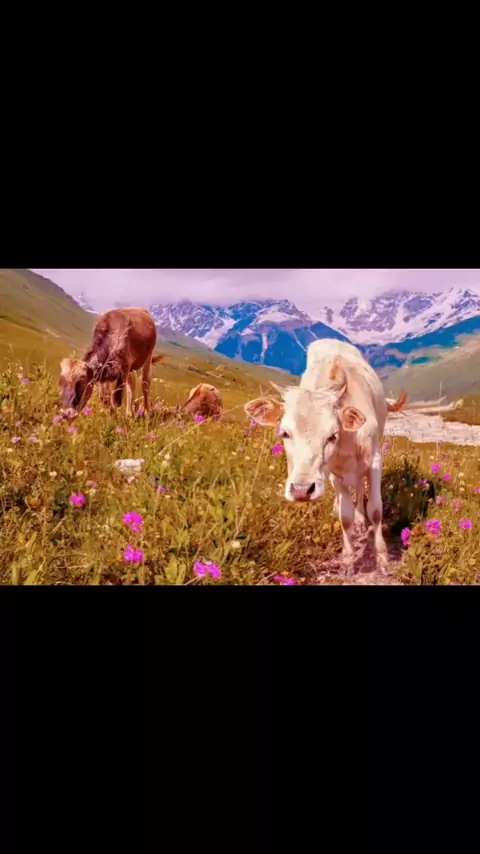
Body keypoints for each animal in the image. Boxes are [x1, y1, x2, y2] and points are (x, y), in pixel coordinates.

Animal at [244, 339, 407, 575]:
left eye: (332, 435)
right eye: (284, 433)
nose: (301, 490)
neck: (347, 441)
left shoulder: (375, 460)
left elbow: (376, 509)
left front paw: (382, 559)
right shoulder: (332, 473)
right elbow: (345, 516)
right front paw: (348, 560)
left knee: (360, 488)